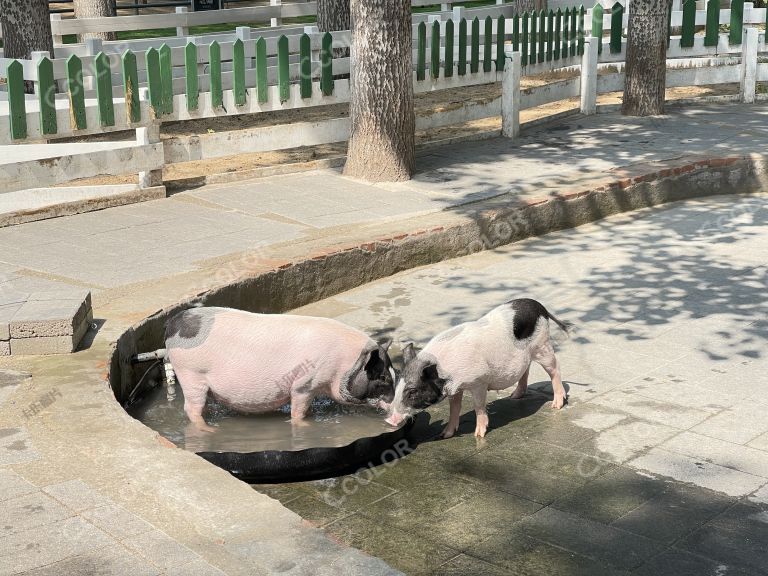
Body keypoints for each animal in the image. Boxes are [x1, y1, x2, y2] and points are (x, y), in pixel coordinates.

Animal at [166, 308, 396, 430]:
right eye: (383, 377)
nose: (395, 408)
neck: (344, 363)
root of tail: (173, 323)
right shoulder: (304, 384)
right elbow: (298, 411)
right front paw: (306, 426)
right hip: (190, 373)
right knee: (191, 409)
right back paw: (210, 430)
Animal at [390, 300, 568, 438]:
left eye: (413, 391)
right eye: (397, 386)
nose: (391, 420)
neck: (445, 372)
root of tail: (540, 306)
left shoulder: (479, 381)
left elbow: (478, 406)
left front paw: (479, 435)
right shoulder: (455, 388)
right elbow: (454, 409)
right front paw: (444, 435)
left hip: (542, 346)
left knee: (555, 368)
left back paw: (556, 405)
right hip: (528, 355)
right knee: (526, 369)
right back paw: (514, 396)